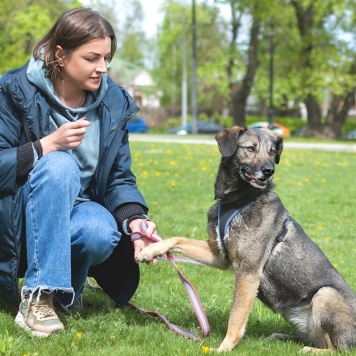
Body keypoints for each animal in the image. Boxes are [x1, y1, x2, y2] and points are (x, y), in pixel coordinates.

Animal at [136, 126, 356, 354]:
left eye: (272, 152)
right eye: (250, 148)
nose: (269, 170)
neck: (236, 200)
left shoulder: (248, 272)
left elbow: (236, 316)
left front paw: (223, 348)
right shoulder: (218, 255)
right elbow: (177, 238)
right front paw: (150, 250)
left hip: (325, 294)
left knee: (338, 348)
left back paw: (309, 350)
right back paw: (283, 337)